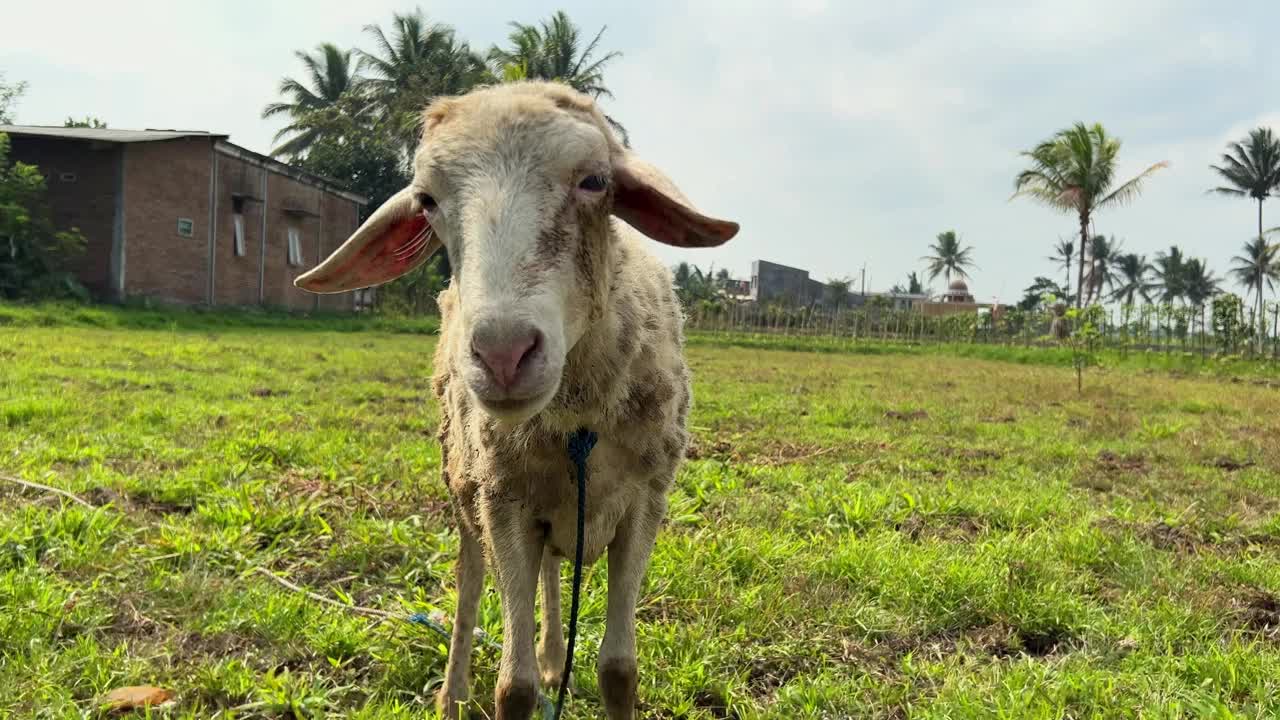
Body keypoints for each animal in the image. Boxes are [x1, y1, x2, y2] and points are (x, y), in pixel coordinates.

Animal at [295, 79, 742, 717]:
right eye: (426, 201)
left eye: (595, 181)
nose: (503, 353)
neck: (579, 418)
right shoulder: (504, 502)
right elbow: (514, 685)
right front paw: (511, 681)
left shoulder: (644, 504)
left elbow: (619, 670)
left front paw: (574, 666)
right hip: (465, 488)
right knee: (469, 582)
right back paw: (455, 692)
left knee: (553, 572)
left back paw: (556, 656)